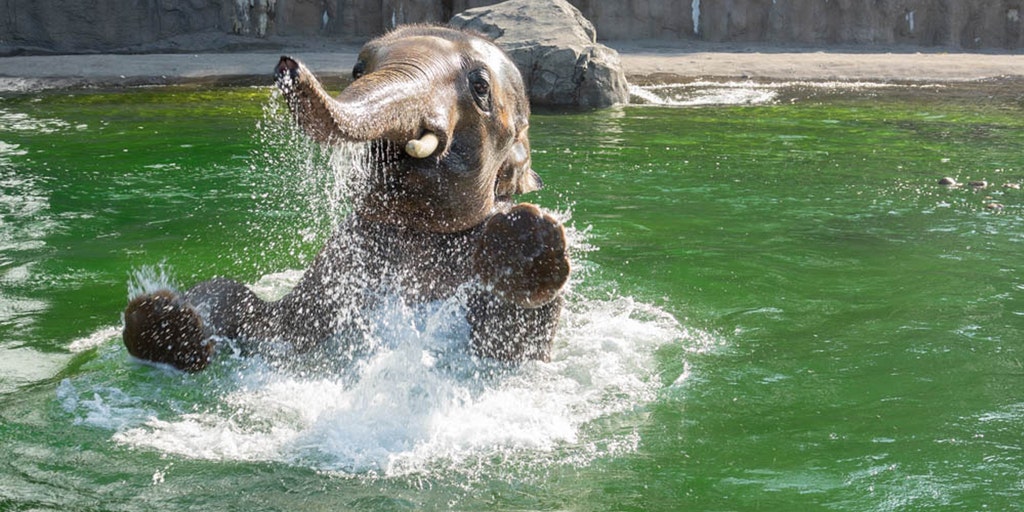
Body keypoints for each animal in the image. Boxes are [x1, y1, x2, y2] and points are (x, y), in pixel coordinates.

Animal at [122, 25, 570, 373]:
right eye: (358, 68)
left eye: (480, 87)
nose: (287, 65)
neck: (415, 230)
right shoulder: (337, 260)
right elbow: (261, 318)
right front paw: (164, 324)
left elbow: (507, 347)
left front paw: (528, 235)